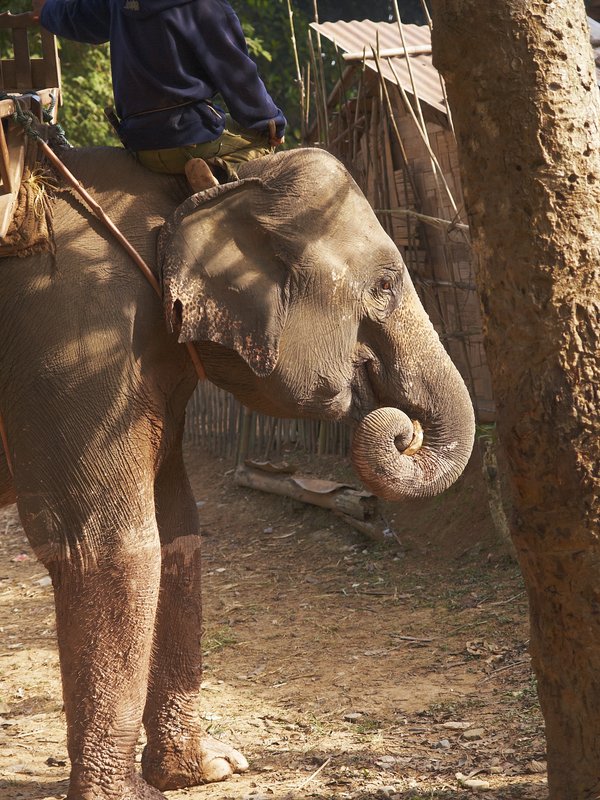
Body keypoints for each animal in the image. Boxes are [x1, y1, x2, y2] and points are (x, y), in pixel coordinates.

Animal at [0, 145, 474, 799]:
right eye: (385, 284)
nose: (401, 431)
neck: (190, 190)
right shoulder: (70, 342)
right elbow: (106, 549)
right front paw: (137, 794)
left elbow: (178, 529)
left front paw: (210, 768)